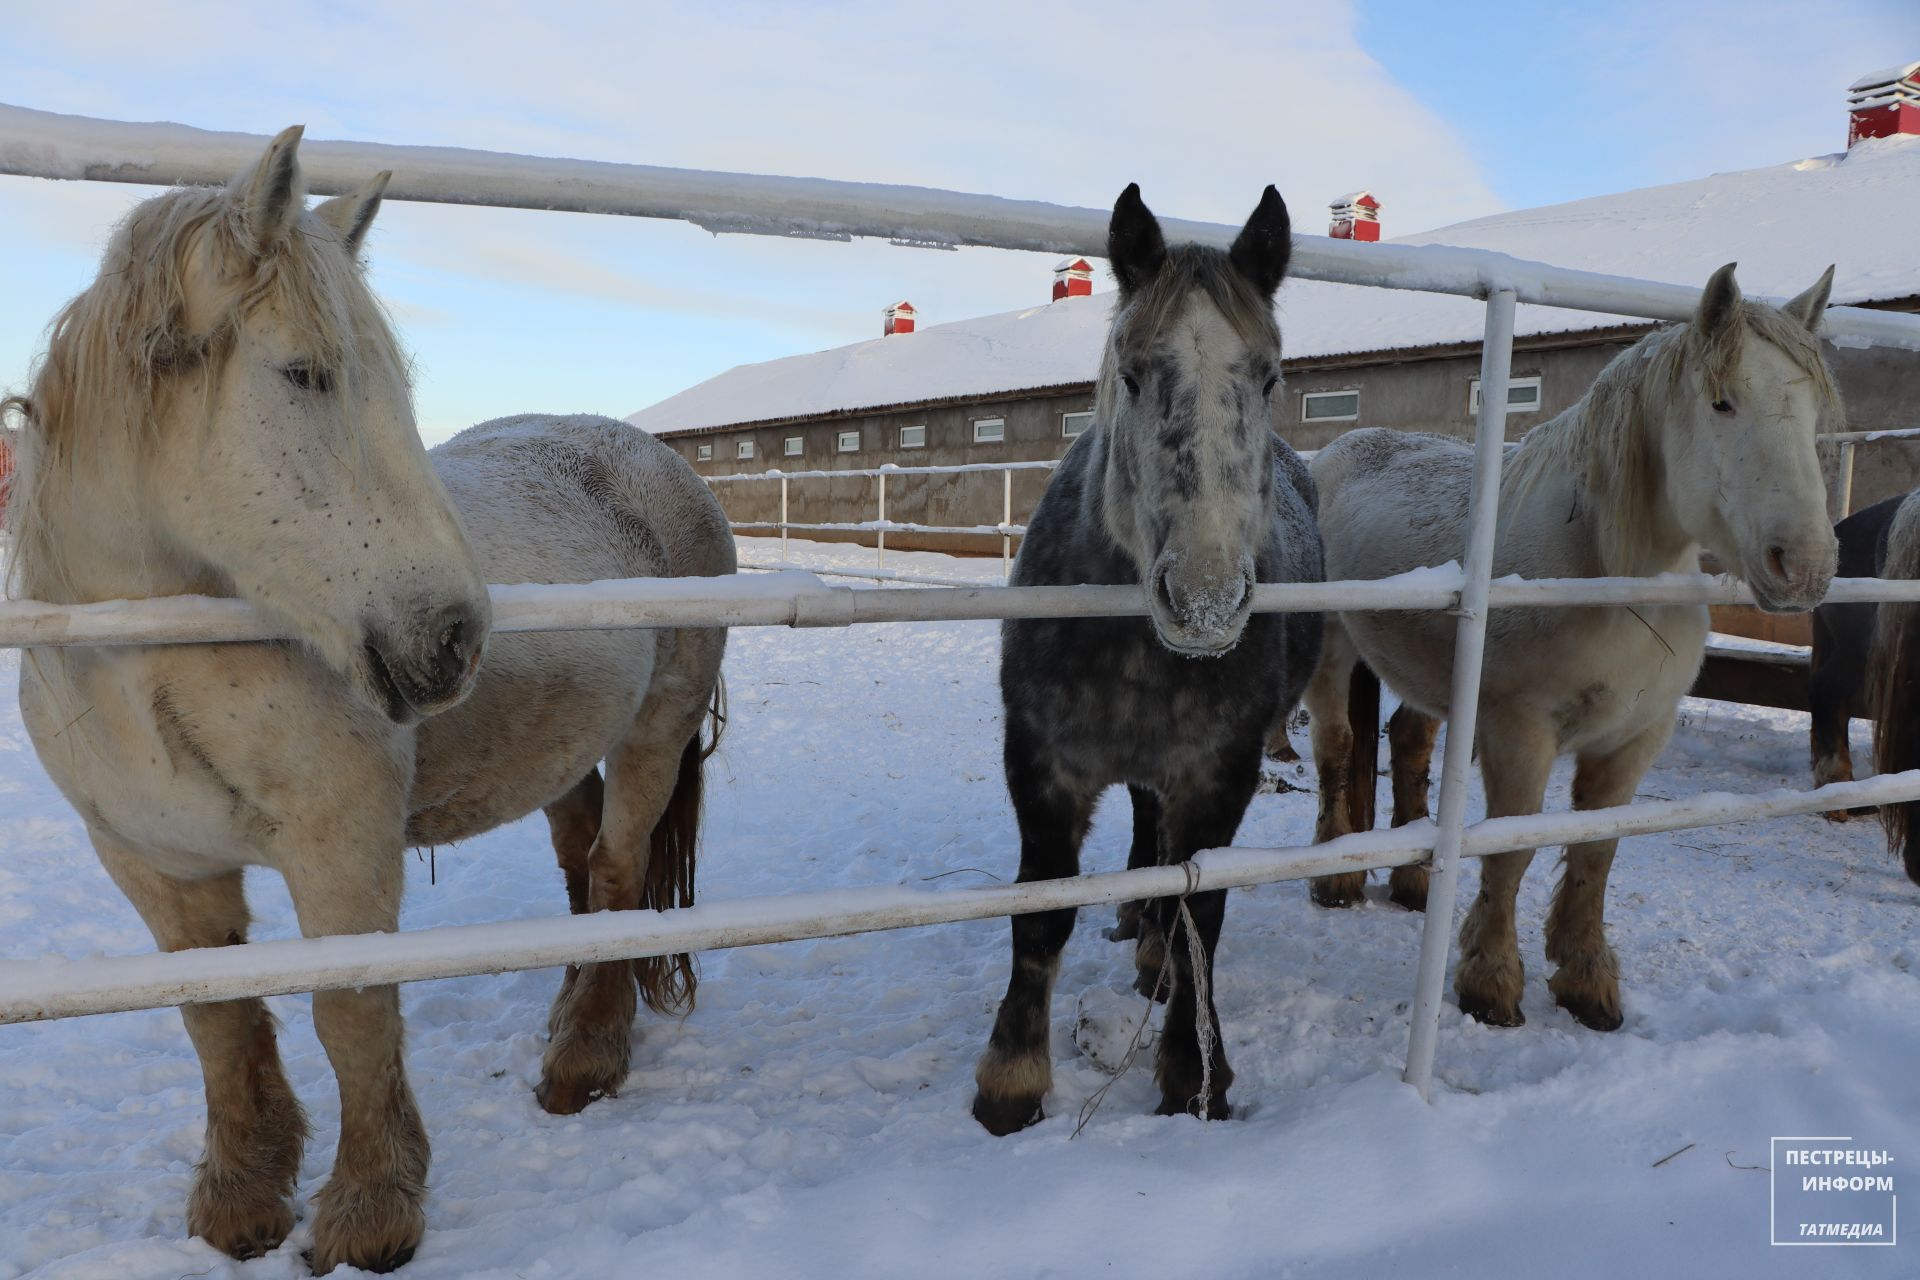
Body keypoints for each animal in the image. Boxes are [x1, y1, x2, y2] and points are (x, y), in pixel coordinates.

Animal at [4, 130, 732, 1273]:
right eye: (304, 373)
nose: (456, 637)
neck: (149, 663)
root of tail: (659, 463)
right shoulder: (155, 866)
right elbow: (217, 1021)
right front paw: (241, 1198)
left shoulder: (341, 848)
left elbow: (351, 1014)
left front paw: (368, 1210)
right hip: (568, 754)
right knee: (583, 873)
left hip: (655, 734)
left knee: (618, 878)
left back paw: (584, 1059)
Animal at [971, 184, 1324, 1134]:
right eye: (1130, 375)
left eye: (1269, 377)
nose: (1204, 600)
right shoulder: (1043, 765)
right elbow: (1039, 912)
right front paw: (1009, 1084)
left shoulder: (1221, 772)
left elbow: (1203, 906)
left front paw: (1193, 1071)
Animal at [1303, 263, 1840, 1032]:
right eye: (1722, 402)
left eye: (1815, 410)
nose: (1806, 567)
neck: (1609, 575)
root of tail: (1333, 454)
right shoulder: (1519, 733)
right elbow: (1510, 851)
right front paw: (1491, 983)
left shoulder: (1634, 740)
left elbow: (1596, 853)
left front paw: (1586, 982)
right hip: (1330, 649)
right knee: (1336, 746)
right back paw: (1337, 873)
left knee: (1407, 744)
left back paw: (1412, 884)